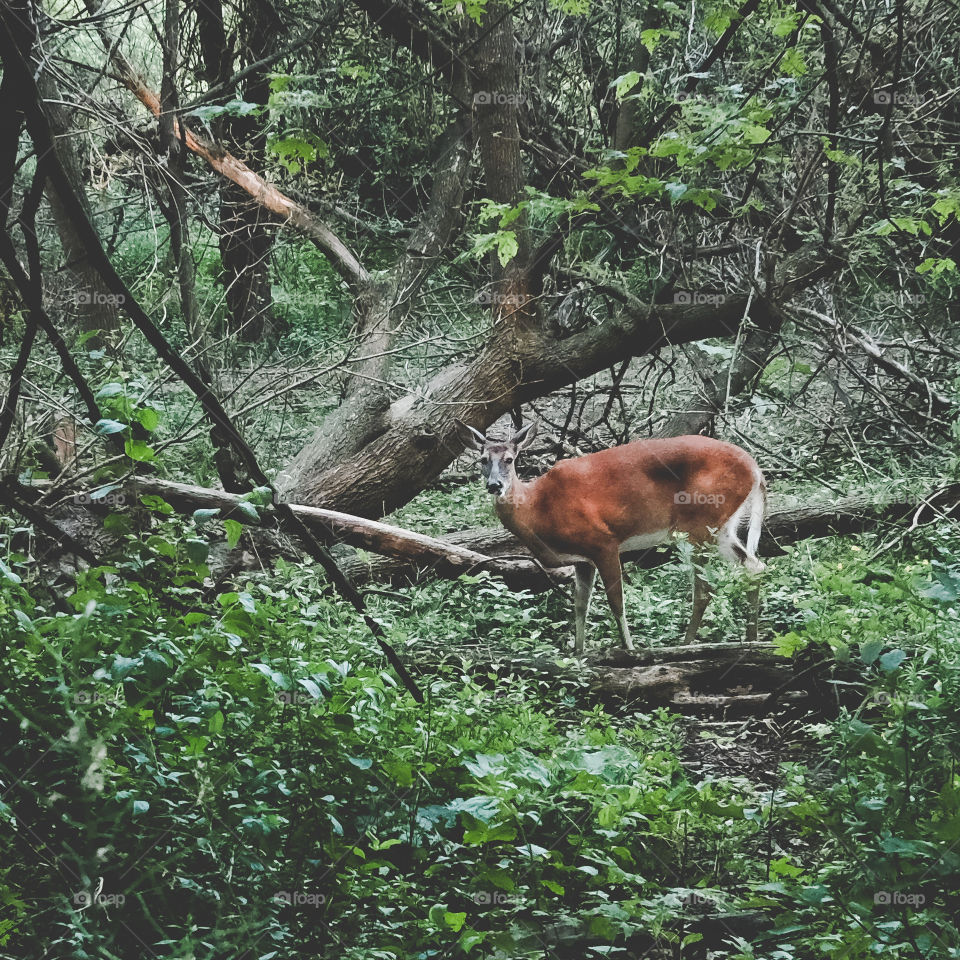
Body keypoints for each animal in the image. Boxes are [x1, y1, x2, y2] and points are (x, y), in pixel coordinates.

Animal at [458, 421, 766, 653]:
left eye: (509, 460)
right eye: (483, 460)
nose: (494, 485)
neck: (537, 507)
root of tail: (756, 468)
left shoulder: (603, 541)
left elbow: (616, 601)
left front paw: (629, 649)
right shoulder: (582, 560)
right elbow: (580, 605)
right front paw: (578, 653)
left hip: (698, 523)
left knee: (704, 587)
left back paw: (686, 644)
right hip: (720, 527)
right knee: (754, 565)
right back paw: (751, 638)